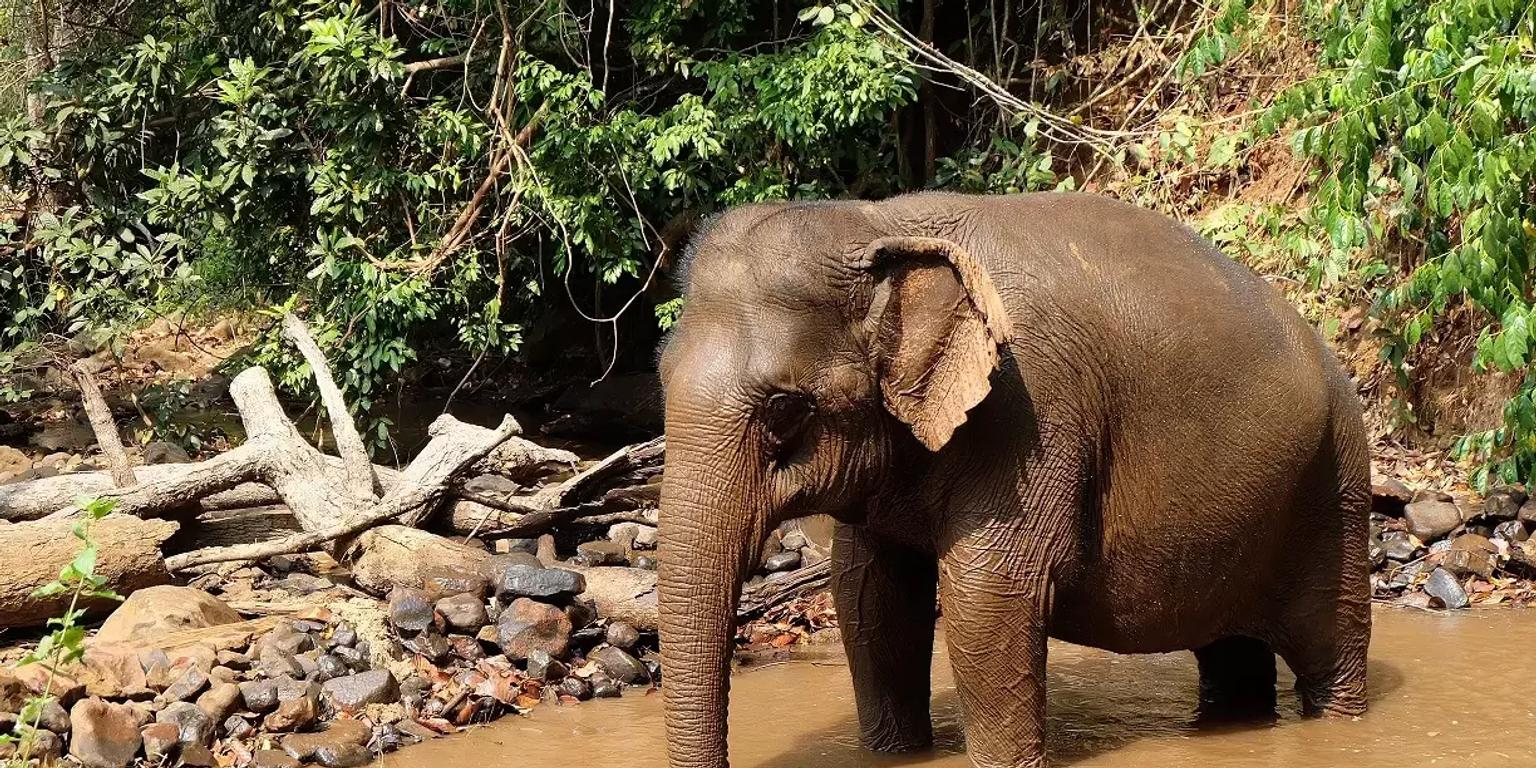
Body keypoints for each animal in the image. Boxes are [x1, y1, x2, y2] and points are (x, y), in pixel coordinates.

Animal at [655, 192, 1371, 768]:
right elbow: (870, 592)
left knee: (1331, 654)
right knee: (1231, 657)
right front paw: (894, 753)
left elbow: (986, 596)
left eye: (784, 409)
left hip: (1336, 489)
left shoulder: (1030, 414)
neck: (879, 222)